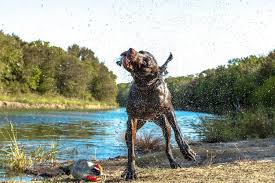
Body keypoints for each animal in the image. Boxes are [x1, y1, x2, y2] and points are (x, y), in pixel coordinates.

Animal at [116, 48, 196, 180]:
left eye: (146, 63)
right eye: (140, 51)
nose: (131, 50)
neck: (146, 88)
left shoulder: (169, 110)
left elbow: (178, 132)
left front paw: (187, 151)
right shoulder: (133, 118)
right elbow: (131, 152)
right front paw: (130, 171)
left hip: (165, 126)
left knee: (167, 147)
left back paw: (173, 162)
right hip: (132, 129)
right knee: (129, 147)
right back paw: (125, 169)